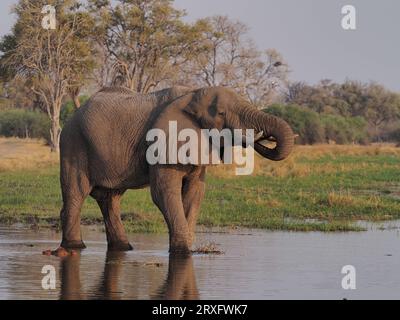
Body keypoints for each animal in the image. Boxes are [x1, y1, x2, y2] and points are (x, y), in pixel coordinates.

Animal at [59, 85, 296, 255]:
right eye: (221, 113)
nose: (259, 136)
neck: (192, 94)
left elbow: (194, 193)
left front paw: (187, 248)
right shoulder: (163, 143)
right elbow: (163, 193)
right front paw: (183, 252)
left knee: (110, 198)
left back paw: (123, 248)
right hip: (74, 143)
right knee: (77, 193)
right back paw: (75, 247)